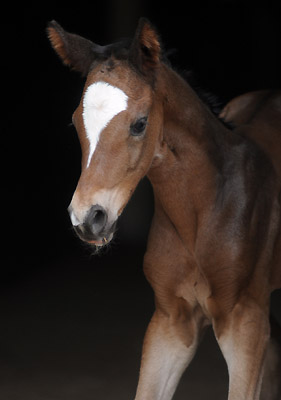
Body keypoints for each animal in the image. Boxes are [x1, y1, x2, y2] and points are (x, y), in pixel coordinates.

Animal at [48, 18, 280, 400]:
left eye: (140, 123)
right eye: (75, 122)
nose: (88, 218)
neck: (203, 213)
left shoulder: (246, 322)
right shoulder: (170, 322)